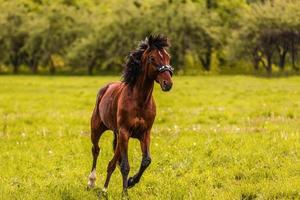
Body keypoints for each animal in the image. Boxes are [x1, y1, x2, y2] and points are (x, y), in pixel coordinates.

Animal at [86, 34, 173, 195]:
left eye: (167, 57)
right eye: (152, 58)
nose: (168, 84)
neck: (140, 100)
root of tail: (105, 88)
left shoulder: (145, 133)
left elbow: (146, 161)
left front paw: (131, 182)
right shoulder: (125, 132)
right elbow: (125, 166)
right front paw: (125, 193)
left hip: (118, 136)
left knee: (112, 162)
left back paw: (104, 190)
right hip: (97, 129)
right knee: (96, 150)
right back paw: (91, 182)